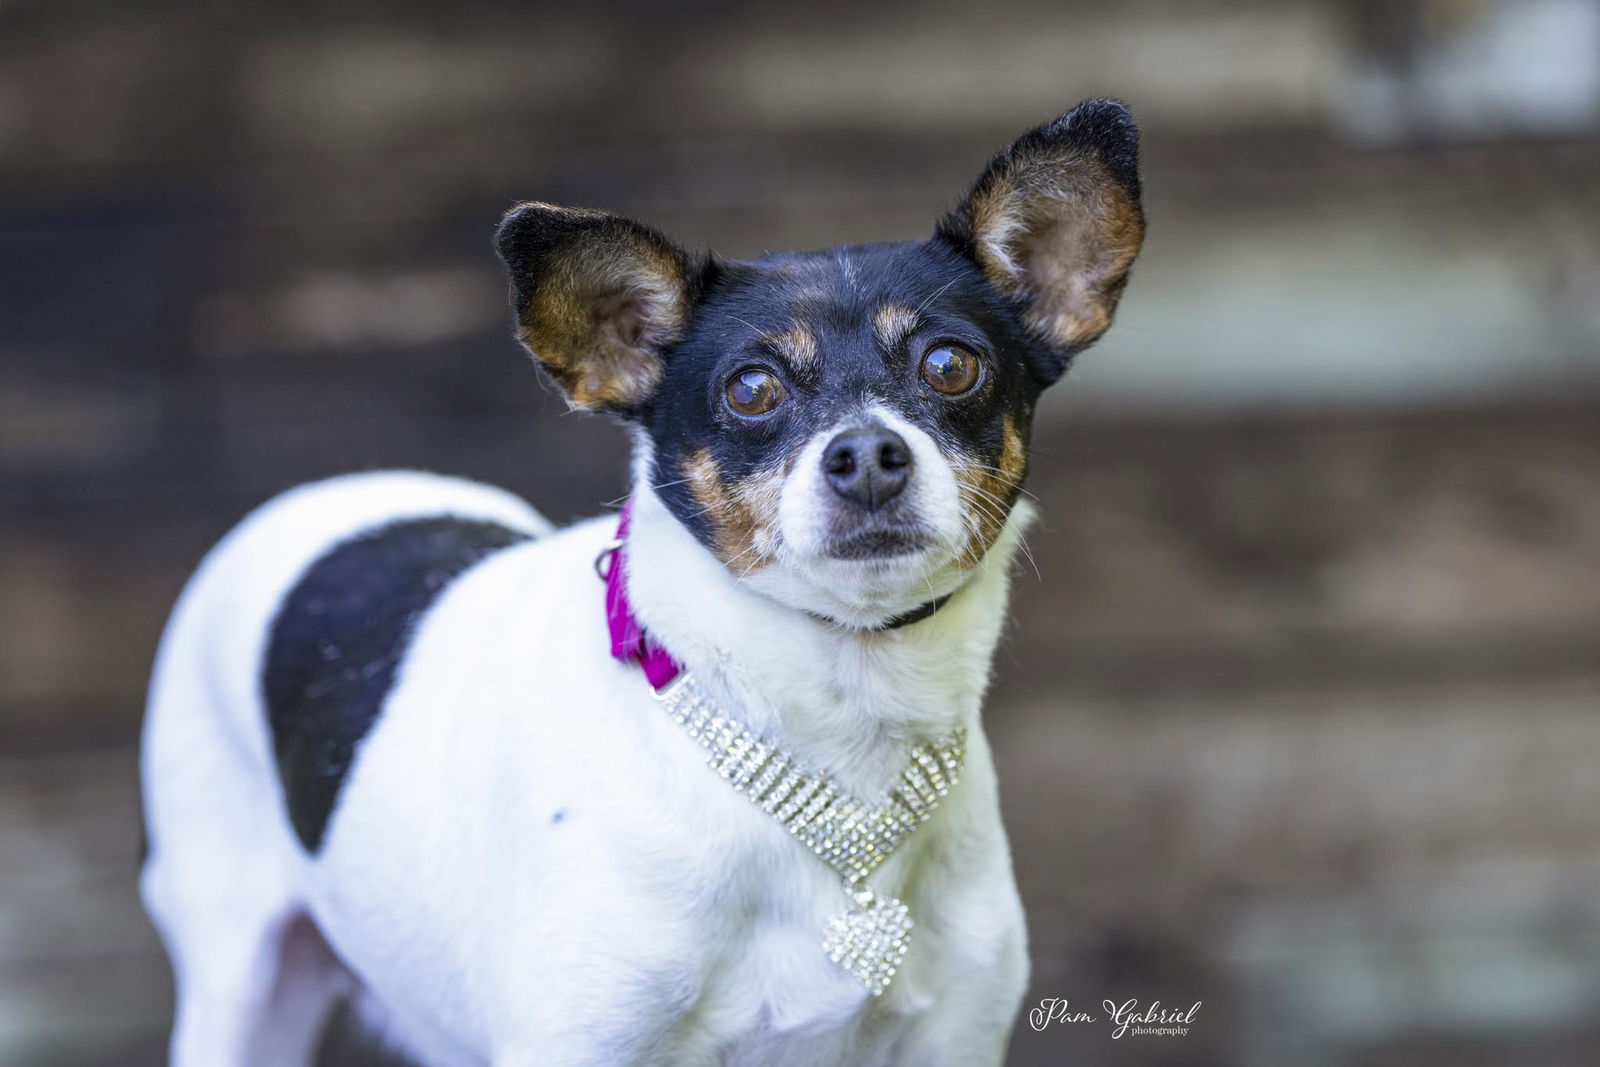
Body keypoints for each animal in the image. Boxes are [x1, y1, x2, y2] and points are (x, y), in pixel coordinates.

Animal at [134, 95, 1139, 1062]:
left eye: (950, 365)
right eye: (751, 389)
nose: (866, 454)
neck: (836, 723)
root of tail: (325, 491)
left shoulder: (954, 1037)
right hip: (242, 987)